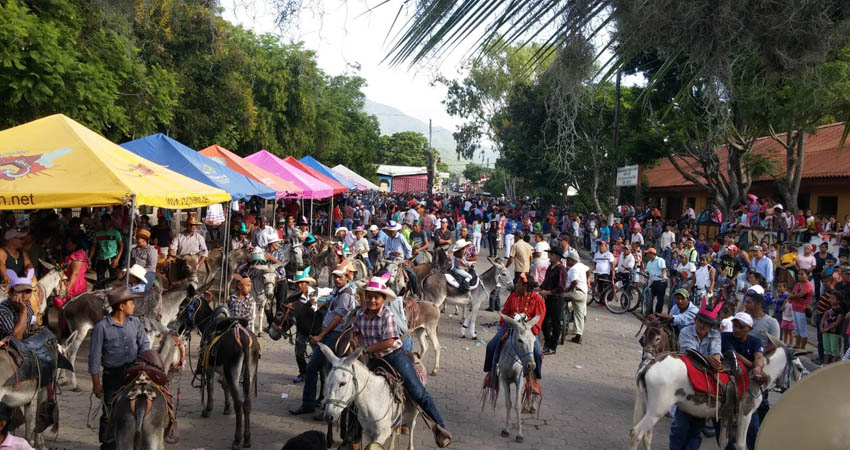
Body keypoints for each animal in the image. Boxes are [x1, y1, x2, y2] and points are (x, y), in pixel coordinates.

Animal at [494, 312, 540, 442]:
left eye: (534, 340)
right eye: (520, 340)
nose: (531, 365)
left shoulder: (518, 379)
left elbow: (517, 405)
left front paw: (519, 434)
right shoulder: (504, 379)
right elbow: (508, 403)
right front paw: (506, 429)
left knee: (533, 385)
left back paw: (532, 406)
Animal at [628, 334, 800, 450]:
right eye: (799, 368)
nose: (790, 386)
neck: (755, 376)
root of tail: (651, 363)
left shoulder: (726, 415)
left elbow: (724, 442)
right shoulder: (745, 413)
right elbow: (741, 444)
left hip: (647, 405)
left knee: (647, 435)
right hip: (657, 410)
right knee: (636, 433)